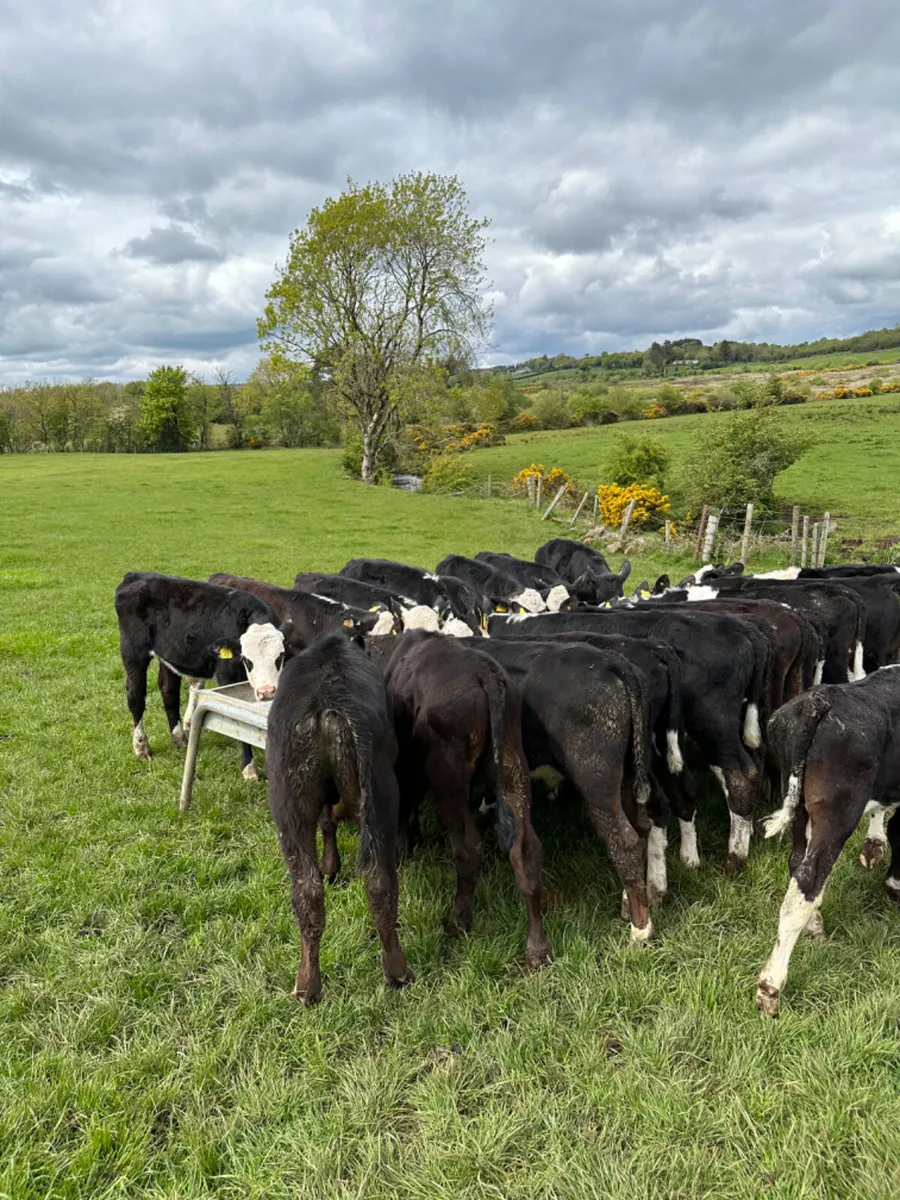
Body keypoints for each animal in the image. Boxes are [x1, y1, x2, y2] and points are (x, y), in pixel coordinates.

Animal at [114, 571, 292, 779]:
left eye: (280, 656)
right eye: (247, 660)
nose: (267, 691)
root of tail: (136, 575)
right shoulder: (227, 676)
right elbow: (239, 722)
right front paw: (249, 768)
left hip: (168, 655)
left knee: (169, 692)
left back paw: (180, 739)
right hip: (133, 653)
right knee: (136, 697)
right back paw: (142, 747)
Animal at [265, 634, 413, 1003]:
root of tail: (327, 705)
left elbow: (327, 822)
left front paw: (331, 867)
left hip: (289, 802)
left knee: (306, 889)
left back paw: (306, 986)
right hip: (379, 788)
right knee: (377, 879)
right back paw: (395, 970)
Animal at [382, 632, 550, 969]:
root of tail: (486, 674)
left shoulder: (405, 763)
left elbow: (405, 805)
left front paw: (402, 850)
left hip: (448, 773)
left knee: (468, 847)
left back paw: (457, 922)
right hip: (511, 763)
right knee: (525, 850)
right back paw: (536, 949)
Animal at [755, 667, 900, 1016]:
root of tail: (817, 701)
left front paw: (875, 844)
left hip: (799, 804)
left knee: (798, 866)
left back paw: (814, 925)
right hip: (837, 813)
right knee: (808, 882)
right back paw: (770, 987)